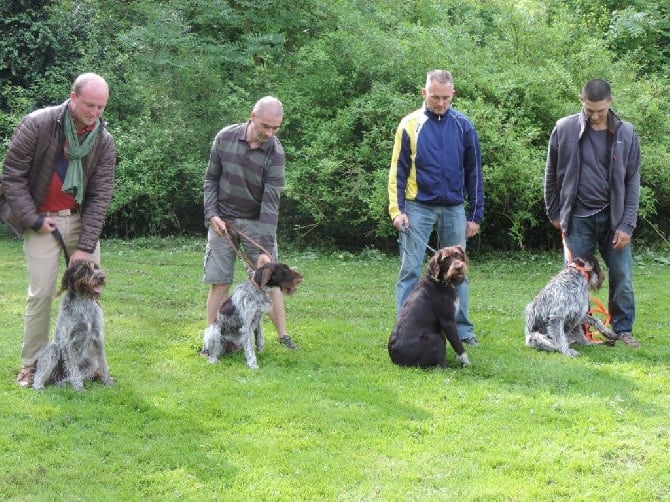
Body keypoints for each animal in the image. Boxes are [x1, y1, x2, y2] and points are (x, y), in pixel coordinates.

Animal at [32, 260, 113, 390]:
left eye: (96, 267)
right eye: (84, 269)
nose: (102, 277)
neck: (83, 302)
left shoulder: (97, 337)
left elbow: (103, 363)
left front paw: (108, 382)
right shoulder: (68, 342)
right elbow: (74, 369)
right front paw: (79, 387)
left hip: (90, 363)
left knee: (66, 377)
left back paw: (63, 383)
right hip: (53, 350)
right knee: (40, 376)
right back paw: (39, 386)